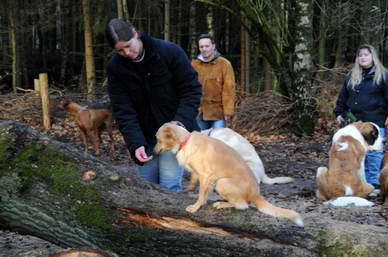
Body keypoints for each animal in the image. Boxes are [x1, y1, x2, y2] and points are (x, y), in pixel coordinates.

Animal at [154, 122, 304, 226]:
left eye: (157, 139)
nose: (153, 152)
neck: (185, 141)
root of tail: (256, 194)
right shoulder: (204, 177)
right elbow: (202, 191)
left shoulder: (205, 176)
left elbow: (201, 195)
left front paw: (196, 207)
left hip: (222, 182)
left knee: (243, 205)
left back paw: (223, 204)